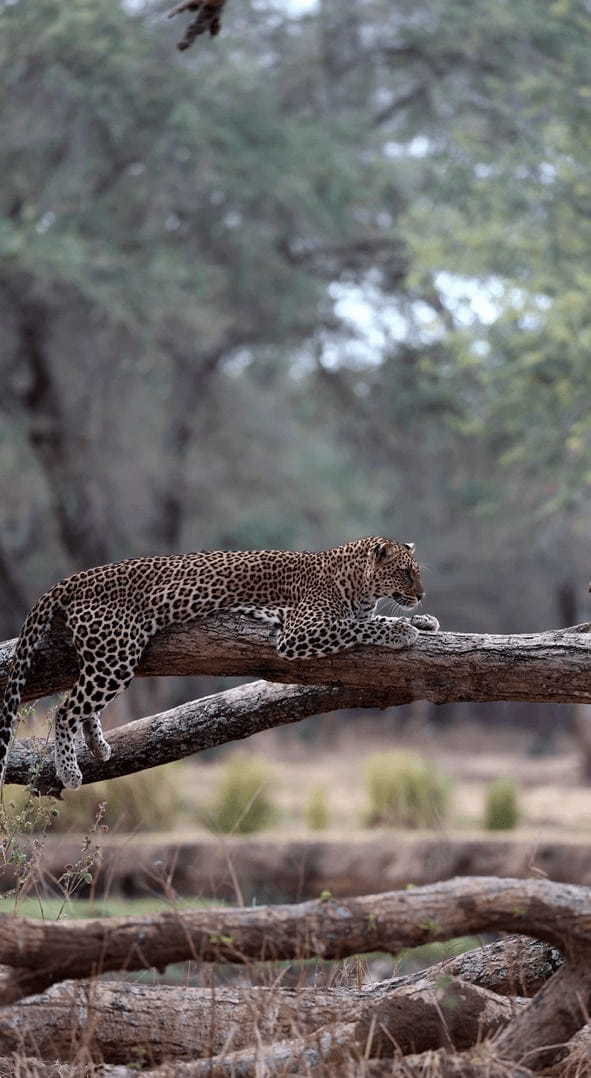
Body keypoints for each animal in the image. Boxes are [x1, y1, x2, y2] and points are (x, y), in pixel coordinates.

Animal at [0, 534, 437, 789]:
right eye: (404, 573)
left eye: (416, 573)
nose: (422, 595)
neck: (360, 585)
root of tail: (76, 577)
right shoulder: (299, 633)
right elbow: (360, 627)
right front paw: (402, 632)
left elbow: (375, 619)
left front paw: (422, 621)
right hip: (116, 654)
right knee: (65, 709)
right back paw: (70, 771)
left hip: (107, 656)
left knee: (82, 703)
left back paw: (98, 745)